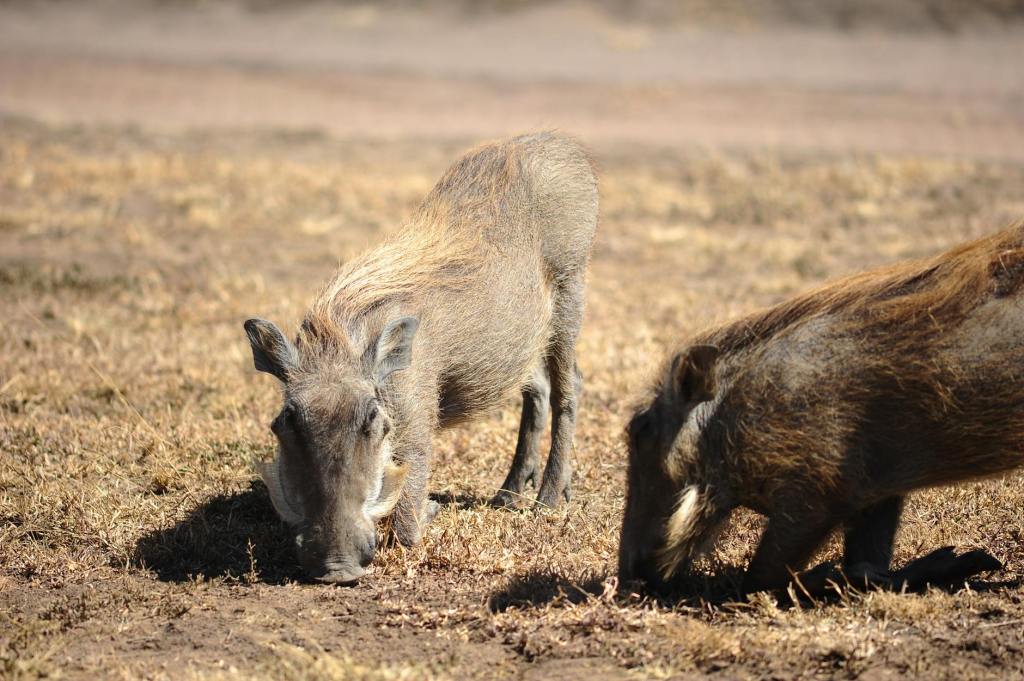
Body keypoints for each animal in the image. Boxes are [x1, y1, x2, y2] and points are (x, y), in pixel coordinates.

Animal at [245, 131, 597, 583]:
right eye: (285, 420)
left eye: (373, 418)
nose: (337, 569)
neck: (340, 340)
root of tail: (556, 140)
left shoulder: (415, 421)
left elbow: (408, 523)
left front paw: (431, 510)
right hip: (521, 340)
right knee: (536, 390)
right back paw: (507, 494)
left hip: (571, 292)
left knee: (568, 388)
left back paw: (548, 499)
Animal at [619, 222, 1024, 595]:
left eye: (640, 431)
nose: (630, 581)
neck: (729, 415)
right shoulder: (875, 491)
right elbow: (867, 560)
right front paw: (960, 562)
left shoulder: (818, 492)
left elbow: (761, 578)